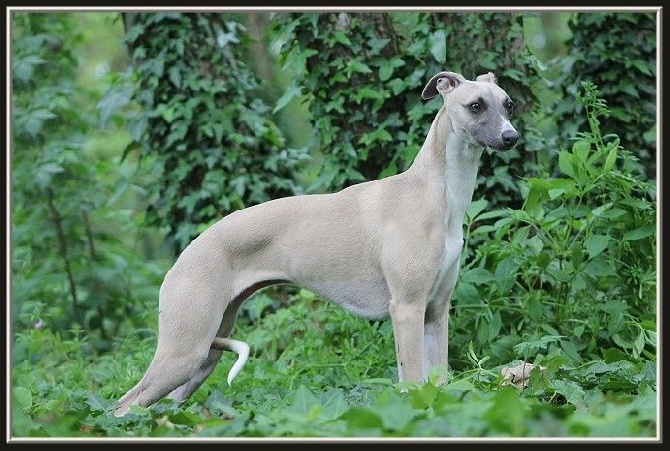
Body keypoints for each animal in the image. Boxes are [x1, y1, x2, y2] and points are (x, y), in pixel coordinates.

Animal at [115, 70, 520, 416]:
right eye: (475, 105)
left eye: (508, 104)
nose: (512, 137)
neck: (436, 194)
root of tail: (185, 255)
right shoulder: (406, 308)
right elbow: (413, 382)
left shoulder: (436, 311)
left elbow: (440, 381)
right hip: (184, 350)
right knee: (124, 405)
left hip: (204, 355)